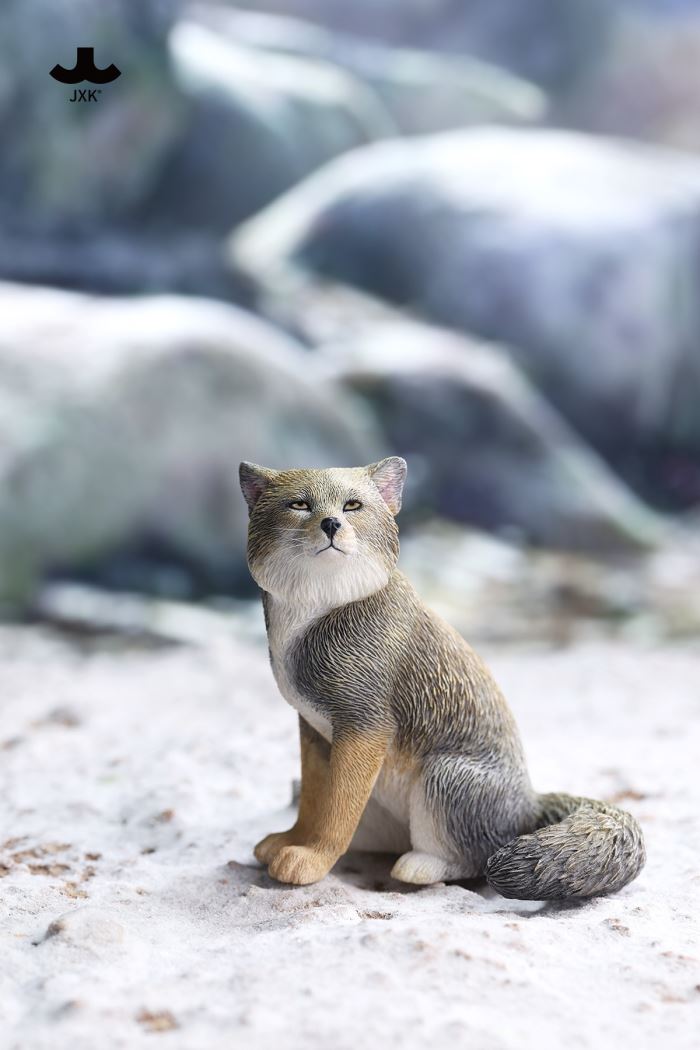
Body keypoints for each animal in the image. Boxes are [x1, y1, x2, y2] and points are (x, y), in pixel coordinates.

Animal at [239, 456, 645, 899]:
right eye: (299, 504)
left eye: (352, 506)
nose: (331, 523)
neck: (319, 611)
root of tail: (529, 804)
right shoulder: (313, 728)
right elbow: (316, 801)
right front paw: (292, 840)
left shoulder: (365, 727)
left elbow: (337, 811)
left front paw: (313, 860)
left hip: (442, 777)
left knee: (473, 859)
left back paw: (421, 865)